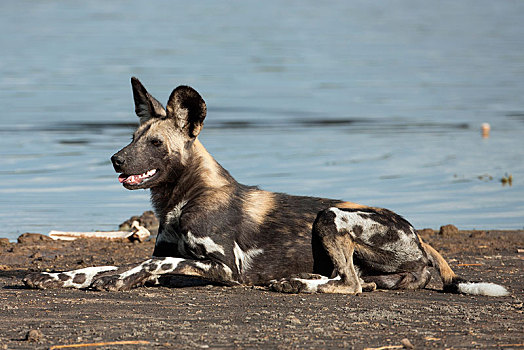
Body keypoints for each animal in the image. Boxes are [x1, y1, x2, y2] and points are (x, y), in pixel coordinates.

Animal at [24, 78, 508, 296]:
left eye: (156, 143)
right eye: (131, 136)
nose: (116, 159)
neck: (182, 200)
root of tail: (420, 237)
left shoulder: (226, 269)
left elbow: (150, 264)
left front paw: (118, 280)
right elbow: (101, 266)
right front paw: (55, 276)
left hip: (331, 215)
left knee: (350, 283)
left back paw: (297, 285)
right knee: (353, 279)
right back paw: (300, 280)